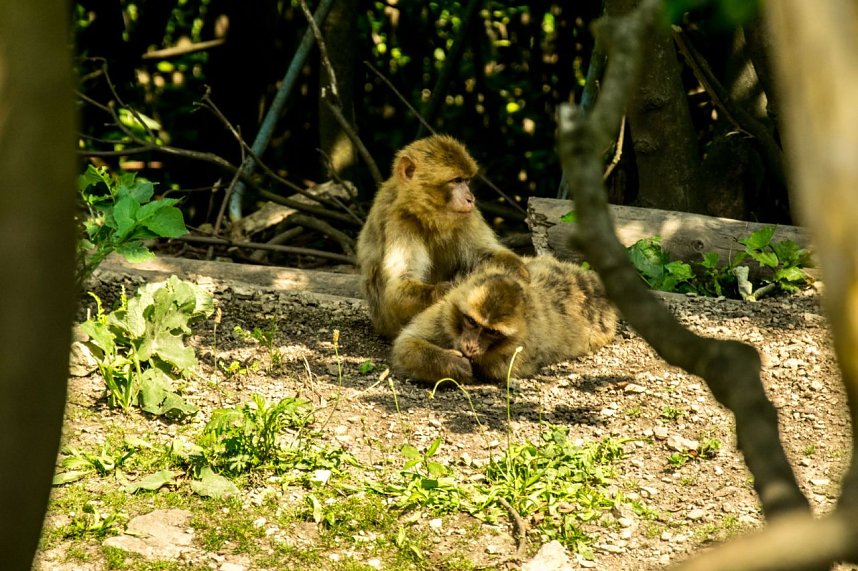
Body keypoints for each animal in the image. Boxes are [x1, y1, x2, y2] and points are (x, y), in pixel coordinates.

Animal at [356, 134, 528, 339]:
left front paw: (519, 272)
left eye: (466, 181)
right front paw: (450, 289)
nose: (470, 198)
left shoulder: (468, 216)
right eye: (456, 180)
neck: (427, 216)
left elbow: (486, 253)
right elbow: (398, 286)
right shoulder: (399, 221)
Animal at [390, 255, 618, 385]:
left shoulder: (524, 346)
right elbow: (406, 343)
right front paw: (454, 363)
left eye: (491, 332)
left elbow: (504, 371)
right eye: (472, 322)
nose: (471, 346)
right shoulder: (444, 310)